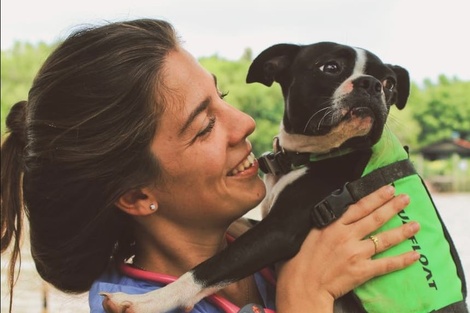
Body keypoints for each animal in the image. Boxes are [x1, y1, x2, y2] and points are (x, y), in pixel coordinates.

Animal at [103, 42, 466, 312]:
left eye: (390, 84)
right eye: (330, 67)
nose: (372, 84)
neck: (311, 154)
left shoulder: (279, 230)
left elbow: (209, 268)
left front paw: (146, 301)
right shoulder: (266, 218)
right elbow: (239, 224)